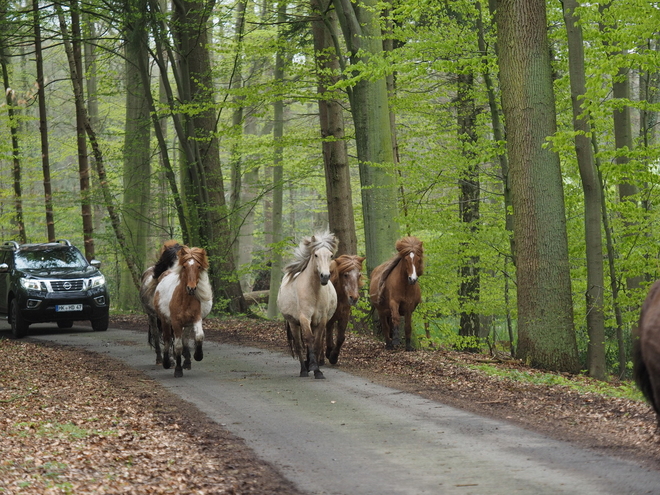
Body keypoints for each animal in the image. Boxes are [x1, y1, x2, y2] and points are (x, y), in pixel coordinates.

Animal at [153, 246, 213, 378]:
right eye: (184, 266)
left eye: (198, 266)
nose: (191, 288)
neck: (185, 300)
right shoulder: (176, 322)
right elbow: (177, 346)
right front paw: (178, 370)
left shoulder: (196, 318)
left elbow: (199, 336)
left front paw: (198, 355)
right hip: (165, 321)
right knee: (167, 339)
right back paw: (167, 362)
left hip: (187, 324)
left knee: (185, 339)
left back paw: (187, 362)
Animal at [278, 232, 338, 380]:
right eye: (315, 255)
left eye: (331, 255)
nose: (325, 276)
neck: (314, 290)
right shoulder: (304, 318)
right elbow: (309, 340)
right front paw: (313, 367)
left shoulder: (321, 320)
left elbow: (316, 344)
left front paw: (318, 371)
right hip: (294, 323)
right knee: (299, 345)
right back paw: (304, 370)